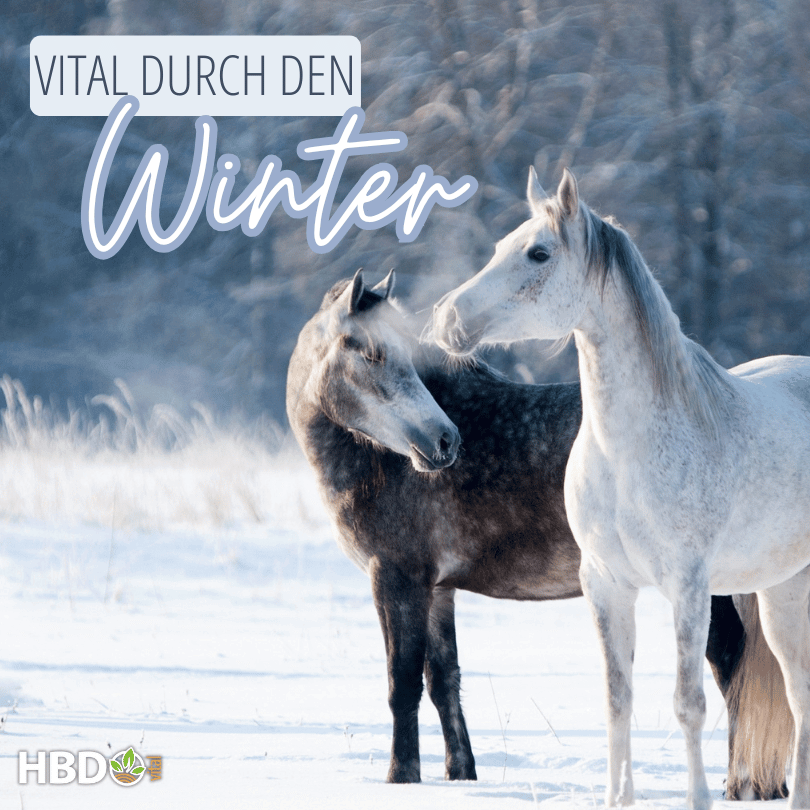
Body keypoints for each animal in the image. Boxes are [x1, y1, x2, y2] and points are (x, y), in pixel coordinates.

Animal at [287, 268, 790, 797]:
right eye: (371, 354)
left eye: (402, 354)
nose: (444, 440)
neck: (379, 461)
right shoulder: (437, 589)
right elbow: (444, 681)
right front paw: (461, 773)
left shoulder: (397, 579)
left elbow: (402, 684)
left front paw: (400, 777)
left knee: (730, 666)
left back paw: (740, 785)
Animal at [431, 168, 810, 809]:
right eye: (500, 247)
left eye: (538, 253)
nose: (447, 320)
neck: (627, 451)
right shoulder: (607, 584)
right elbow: (618, 701)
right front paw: (618, 797)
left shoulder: (688, 588)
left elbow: (688, 704)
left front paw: (699, 798)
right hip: (781, 591)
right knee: (799, 689)